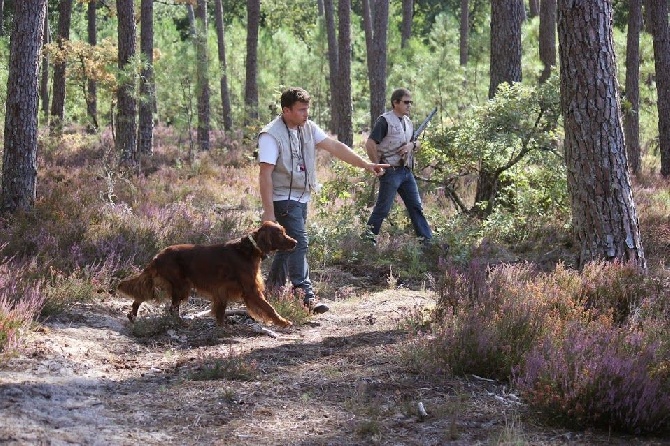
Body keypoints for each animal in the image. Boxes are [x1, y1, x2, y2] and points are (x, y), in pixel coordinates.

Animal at [117, 220, 296, 328]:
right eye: (280, 234)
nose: (295, 242)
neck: (248, 249)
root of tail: (157, 256)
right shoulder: (251, 290)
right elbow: (269, 308)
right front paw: (283, 321)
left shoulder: (223, 290)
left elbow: (221, 310)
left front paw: (221, 326)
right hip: (180, 286)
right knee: (171, 308)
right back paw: (180, 323)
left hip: (173, 285)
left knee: (142, 296)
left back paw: (132, 316)